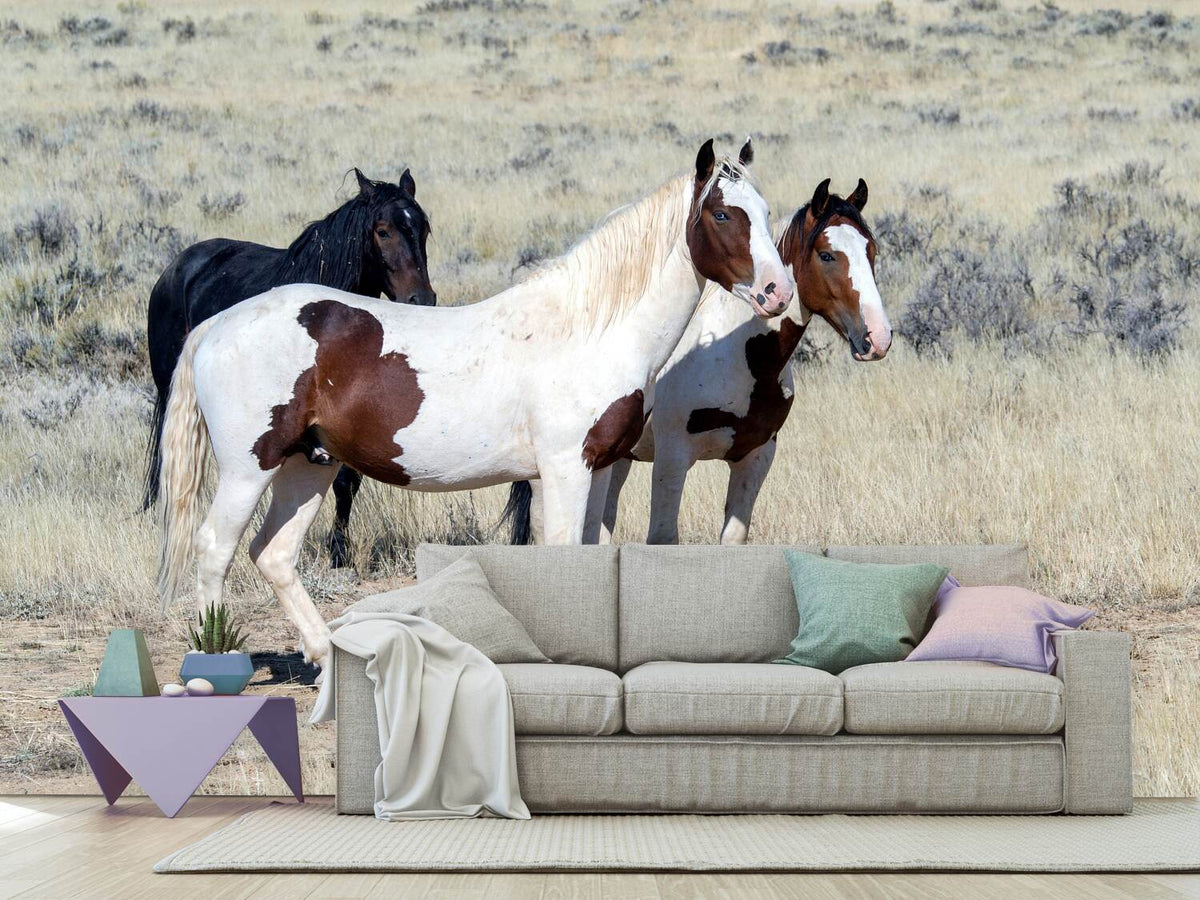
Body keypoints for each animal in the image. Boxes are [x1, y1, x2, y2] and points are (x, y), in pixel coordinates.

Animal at [143, 168, 435, 567]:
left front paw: (339, 550)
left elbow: (348, 482)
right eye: (382, 230)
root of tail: (177, 267)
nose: (421, 299)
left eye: (424, 228)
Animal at [504, 178, 889, 546]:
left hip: (616, 461)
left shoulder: (756, 456)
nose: (878, 337)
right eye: (826, 255)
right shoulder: (673, 457)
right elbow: (662, 536)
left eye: (871, 250)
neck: (740, 358)